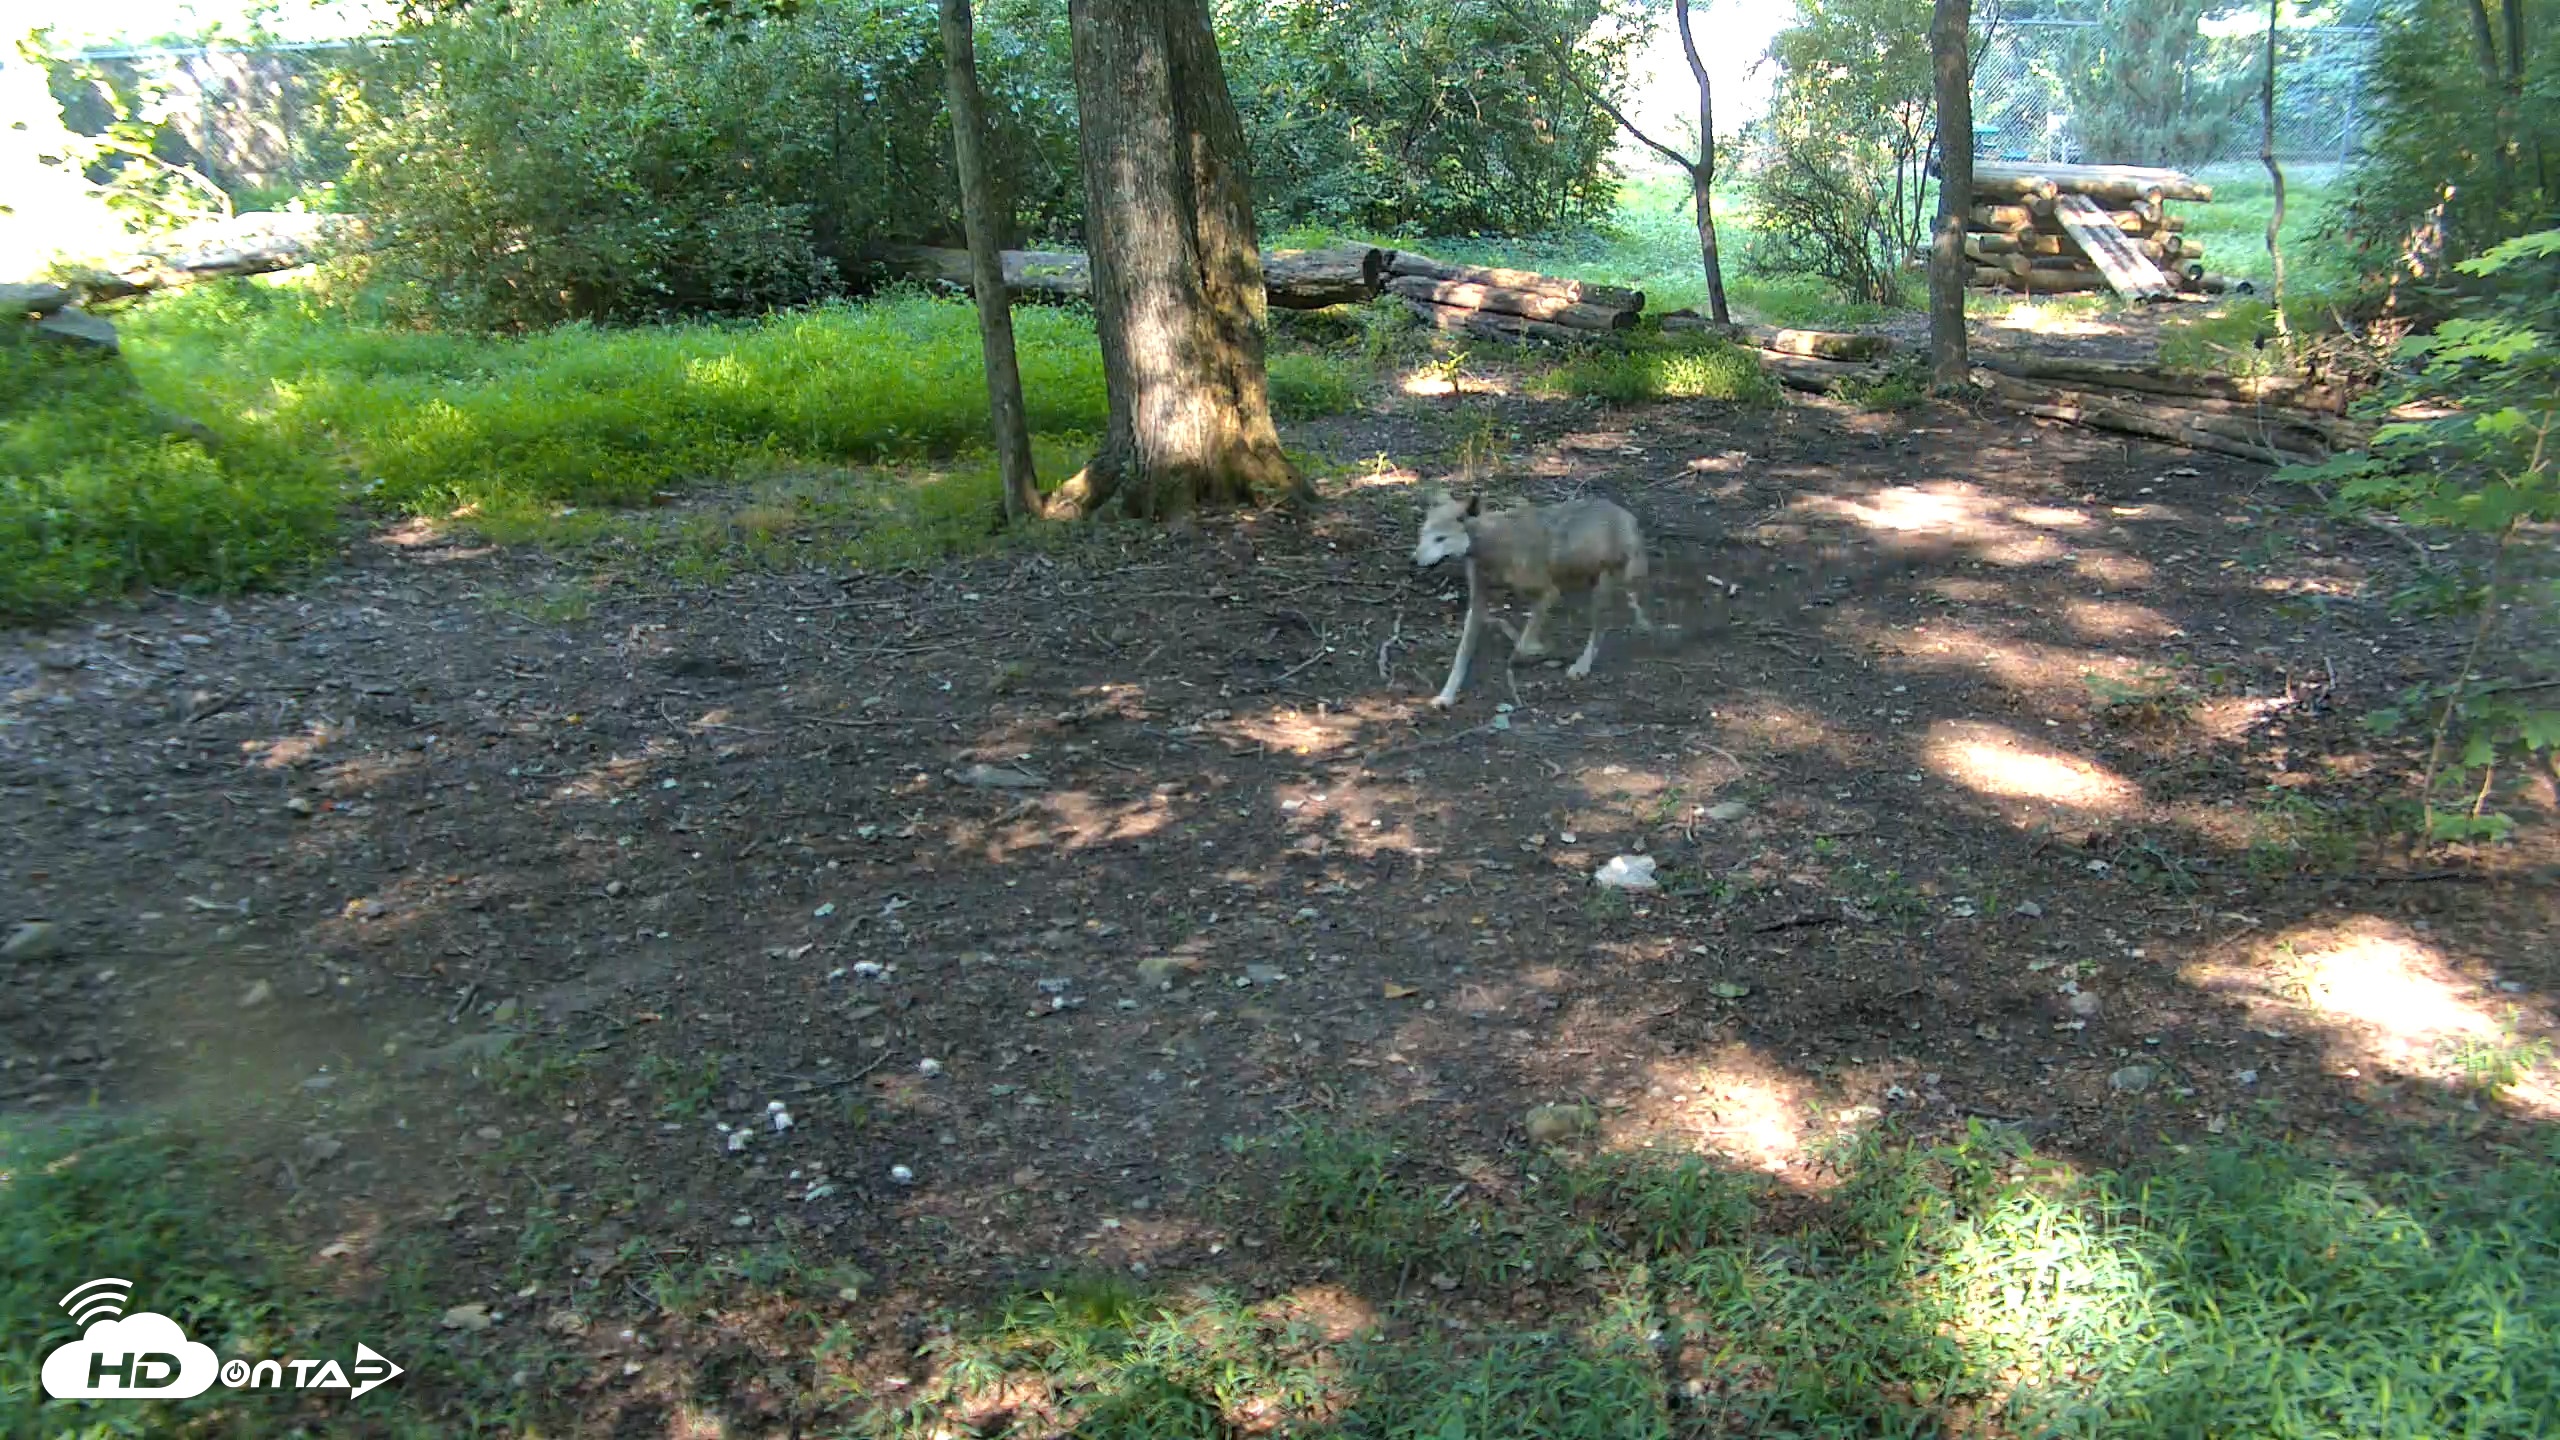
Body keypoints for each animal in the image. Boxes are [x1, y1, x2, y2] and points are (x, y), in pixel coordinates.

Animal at [1410, 490, 1654, 709]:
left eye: (1440, 539)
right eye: (1422, 535)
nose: (1413, 560)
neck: (1491, 545)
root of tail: (1625, 513)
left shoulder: (1549, 592)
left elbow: (1523, 644)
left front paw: (1537, 649)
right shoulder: (1478, 604)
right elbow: (1461, 658)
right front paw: (1445, 696)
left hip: (1601, 589)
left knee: (1601, 628)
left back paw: (1582, 665)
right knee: (1624, 608)